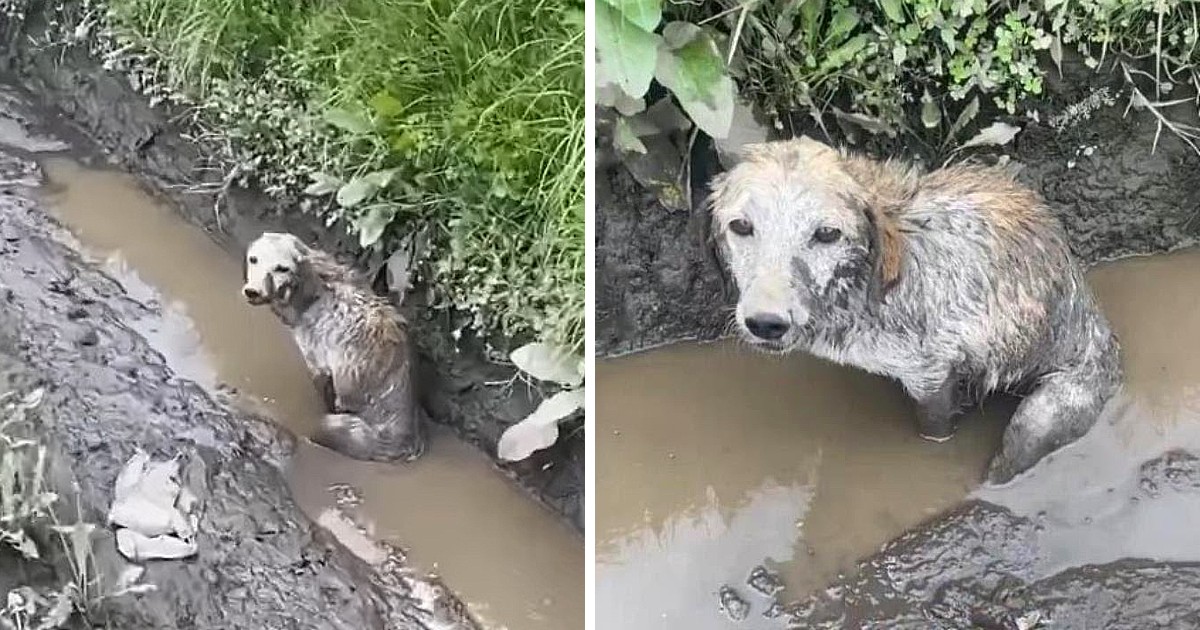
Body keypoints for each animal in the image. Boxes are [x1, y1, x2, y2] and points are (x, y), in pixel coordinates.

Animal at [705, 137, 1118, 482]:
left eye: (827, 233)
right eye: (741, 226)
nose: (766, 322)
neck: (865, 287)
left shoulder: (931, 374)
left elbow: (934, 427)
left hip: (1041, 417)